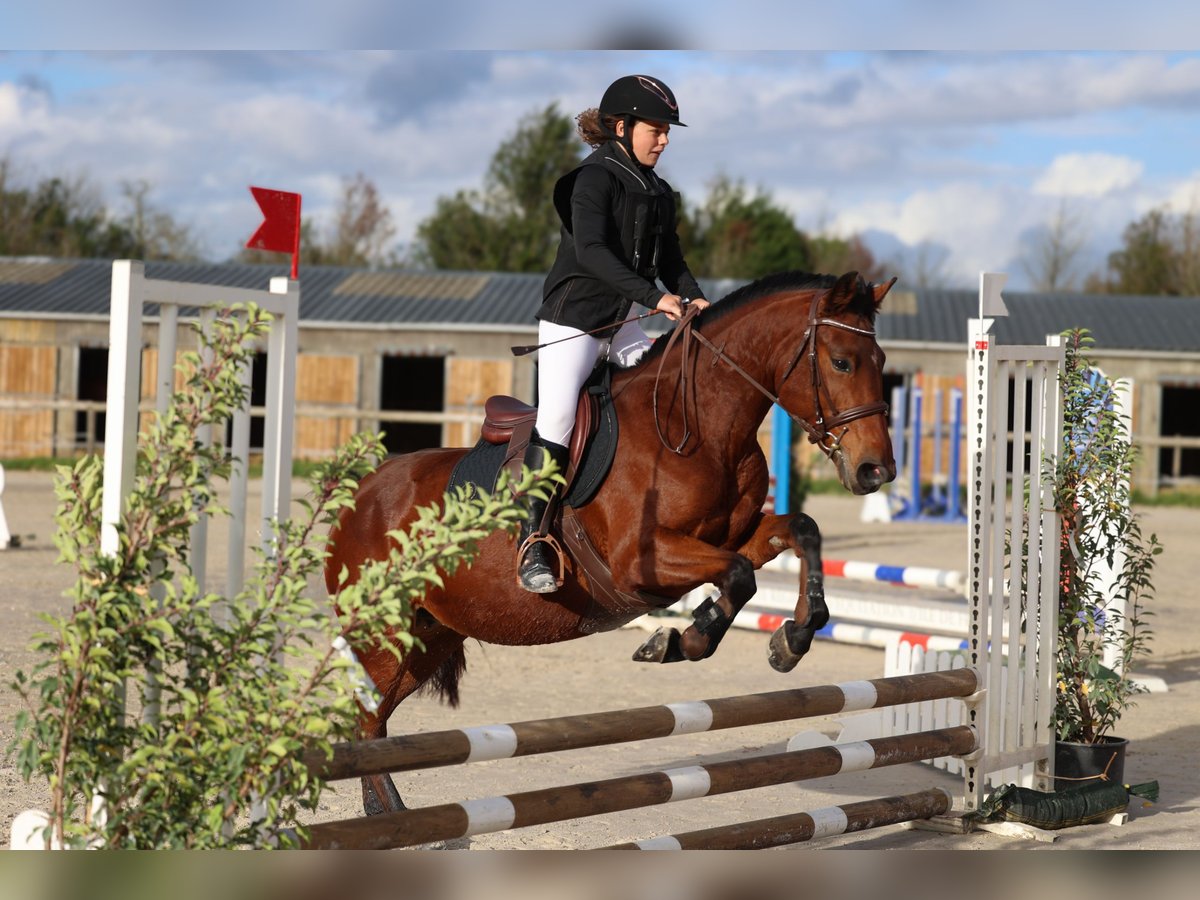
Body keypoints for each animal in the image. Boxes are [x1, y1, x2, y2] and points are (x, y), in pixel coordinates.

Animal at [324, 270, 897, 816]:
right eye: (842, 362)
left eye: (882, 361)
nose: (877, 471)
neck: (700, 425)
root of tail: (359, 493)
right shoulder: (637, 563)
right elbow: (738, 575)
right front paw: (683, 640)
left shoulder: (735, 535)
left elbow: (799, 531)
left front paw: (792, 638)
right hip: (384, 636)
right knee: (367, 720)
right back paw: (399, 822)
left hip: (430, 635)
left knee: (374, 722)